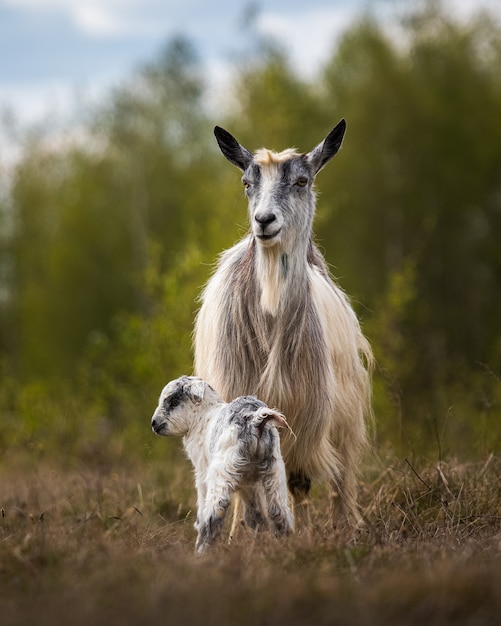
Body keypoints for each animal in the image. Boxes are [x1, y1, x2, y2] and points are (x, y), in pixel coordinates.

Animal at [150, 372, 294, 552]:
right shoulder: (249, 483)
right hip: (274, 471)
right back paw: (284, 546)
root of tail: (254, 420)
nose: (154, 423)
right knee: (278, 511)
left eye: (174, 402)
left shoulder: (202, 472)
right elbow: (255, 513)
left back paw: (202, 550)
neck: (201, 416)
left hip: (222, 470)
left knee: (215, 511)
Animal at [193, 118, 374, 528]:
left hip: (344, 413)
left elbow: (300, 480)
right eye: (246, 183)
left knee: (341, 476)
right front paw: (240, 533)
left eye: (302, 181)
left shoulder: (307, 414)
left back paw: (347, 523)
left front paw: (301, 534)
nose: (264, 221)